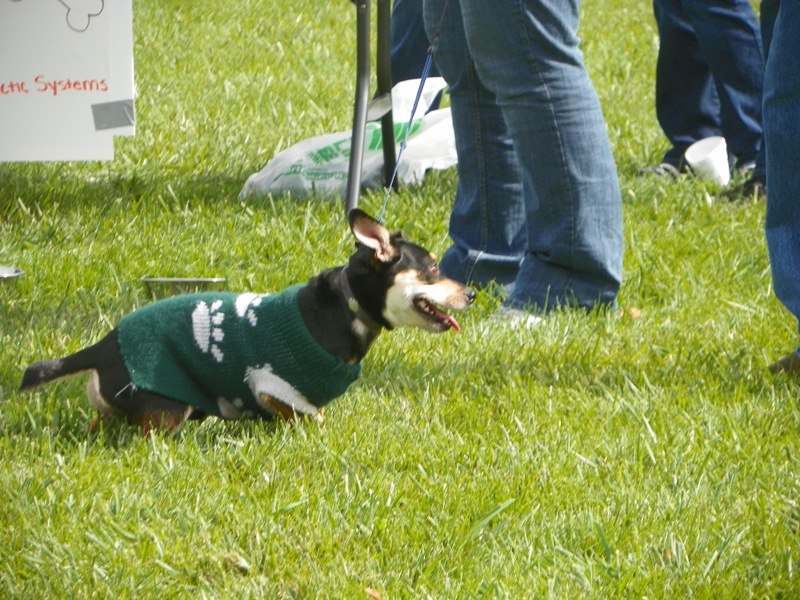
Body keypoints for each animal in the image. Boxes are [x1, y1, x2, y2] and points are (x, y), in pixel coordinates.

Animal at [20, 209, 475, 433]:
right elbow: (315, 419)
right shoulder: (273, 385)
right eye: (434, 268)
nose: (471, 293)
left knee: (100, 422)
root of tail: (103, 347)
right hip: (171, 404)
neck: (346, 308)